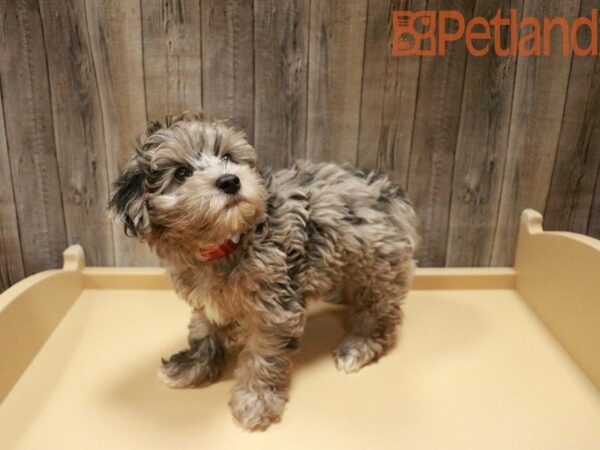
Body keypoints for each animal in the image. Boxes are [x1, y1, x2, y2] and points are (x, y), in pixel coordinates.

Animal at [109, 110, 418, 430]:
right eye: (181, 173)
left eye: (228, 156)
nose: (230, 180)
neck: (226, 242)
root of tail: (392, 191)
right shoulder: (206, 299)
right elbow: (203, 331)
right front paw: (192, 365)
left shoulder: (274, 309)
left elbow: (262, 356)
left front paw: (255, 402)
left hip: (379, 265)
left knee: (378, 314)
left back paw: (358, 347)